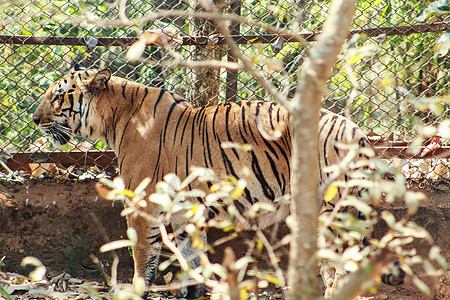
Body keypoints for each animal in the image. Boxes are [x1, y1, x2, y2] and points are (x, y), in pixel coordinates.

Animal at [31, 65, 374, 298]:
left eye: (57, 96)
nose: (34, 119)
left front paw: (137, 289)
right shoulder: (184, 210)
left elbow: (142, 255)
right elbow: (191, 259)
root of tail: (358, 132)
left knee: (341, 271)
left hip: (332, 214)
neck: (113, 117)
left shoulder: (143, 204)